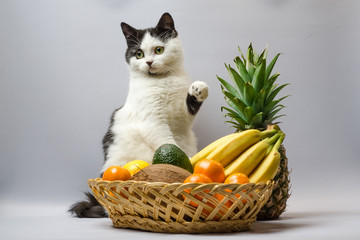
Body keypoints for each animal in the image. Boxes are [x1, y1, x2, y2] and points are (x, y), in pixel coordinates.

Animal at [69, 13, 208, 218]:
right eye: (139, 54)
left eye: (159, 50)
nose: (149, 62)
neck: (164, 81)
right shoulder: (151, 122)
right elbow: (169, 144)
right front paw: (185, 166)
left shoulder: (181, 118)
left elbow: (187, 109)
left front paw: (199, 89)